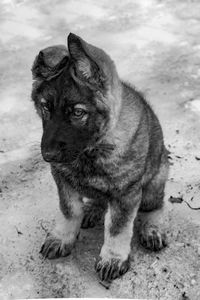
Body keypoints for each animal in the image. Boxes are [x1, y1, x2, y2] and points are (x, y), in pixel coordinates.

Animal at [31, 34, 169, 282]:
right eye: (45, 107)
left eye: (78, 112)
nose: (48, 156)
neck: (91, 150)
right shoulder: (62, 180)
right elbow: (69, 210)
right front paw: (62, 237)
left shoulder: (126, 194)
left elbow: (117, 228)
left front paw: (113, 258)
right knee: (97, 199)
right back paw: (93, 209)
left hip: (156, 179)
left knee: (154, 206)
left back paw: (152, 229)